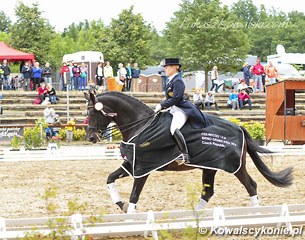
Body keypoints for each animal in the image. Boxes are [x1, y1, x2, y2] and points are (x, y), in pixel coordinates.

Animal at [83, 91, 292, 214]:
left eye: (93, 113)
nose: (91, 137)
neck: (141, 124)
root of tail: (239, 127)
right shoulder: (132, 164)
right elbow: (110, 179)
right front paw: (121, 205)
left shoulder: (144, 167)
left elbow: (135, 194)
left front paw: (131, 215)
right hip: (209, 167)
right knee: (208, 192)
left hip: (235, 167)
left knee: (251, 185)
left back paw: (256, 214)